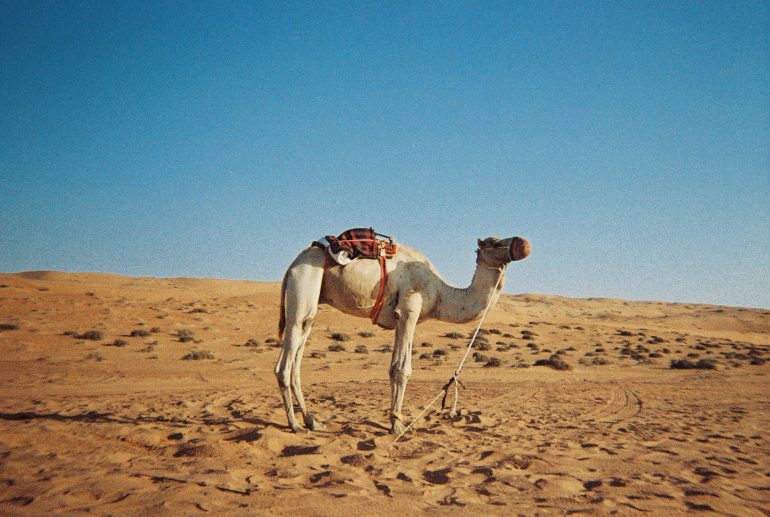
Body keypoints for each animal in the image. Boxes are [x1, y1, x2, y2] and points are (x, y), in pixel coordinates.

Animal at [275, 234, 531, 435]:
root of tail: (292, 264)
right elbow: (402, 370)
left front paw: (395, 419)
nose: (523, 244)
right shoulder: (410, 309)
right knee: (285, 363)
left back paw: (312, 422)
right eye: (495, 243)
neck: (441, 294)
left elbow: (393, 368)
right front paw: (397, 426)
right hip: (305, 283)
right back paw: (294, 425)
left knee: (298, 357)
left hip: (314, 300)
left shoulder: (400, 318)